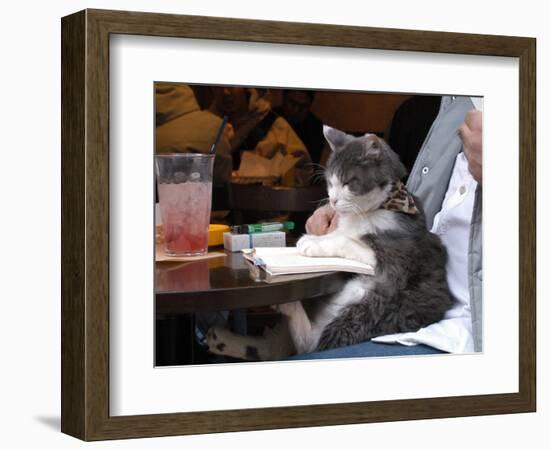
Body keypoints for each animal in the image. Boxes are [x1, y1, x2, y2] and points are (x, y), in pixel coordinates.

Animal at [205, 127, 454, 362]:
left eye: (348, 182)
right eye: (330, 182)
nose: (332, 200)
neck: (369, 210)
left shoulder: (397, 256)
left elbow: (346, 240)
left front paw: (311, 243)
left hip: (371, 305)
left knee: (312, 344)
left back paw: (287, 307)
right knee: (275, 348)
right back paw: (221, 339)